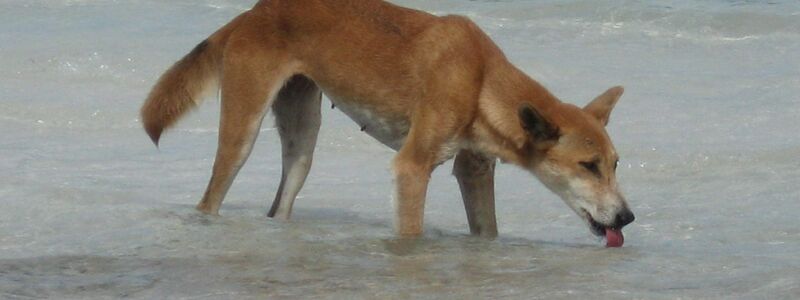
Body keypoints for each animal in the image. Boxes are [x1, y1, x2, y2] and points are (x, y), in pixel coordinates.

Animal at [141, 0, 636, 244]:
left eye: (615, 165)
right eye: (588, 166)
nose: (627, 217)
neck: (479, 78)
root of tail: (255, 11)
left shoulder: (474, 170)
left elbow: (487, 231)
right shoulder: (412, 167)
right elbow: (411, 232)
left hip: (303, 143)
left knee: (280, 203)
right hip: (241, 135)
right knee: (210, 199)